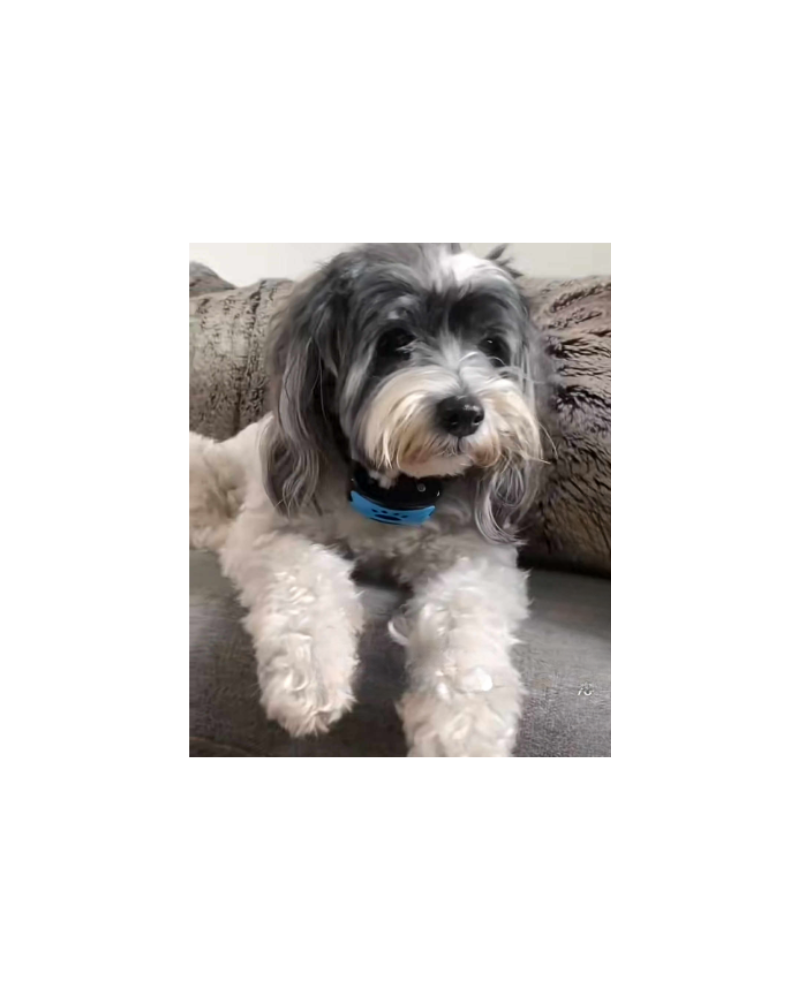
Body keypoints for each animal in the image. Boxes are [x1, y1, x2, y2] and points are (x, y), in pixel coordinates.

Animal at [190, 243, 545, 756]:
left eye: (492, 346)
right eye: (397, 340)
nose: (465, 411)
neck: (394, 491)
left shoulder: (476, 556)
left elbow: (466, 615)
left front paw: (463, 729)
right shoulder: (269, 530)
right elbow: (307, 577)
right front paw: (310, 676)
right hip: (216, 470)